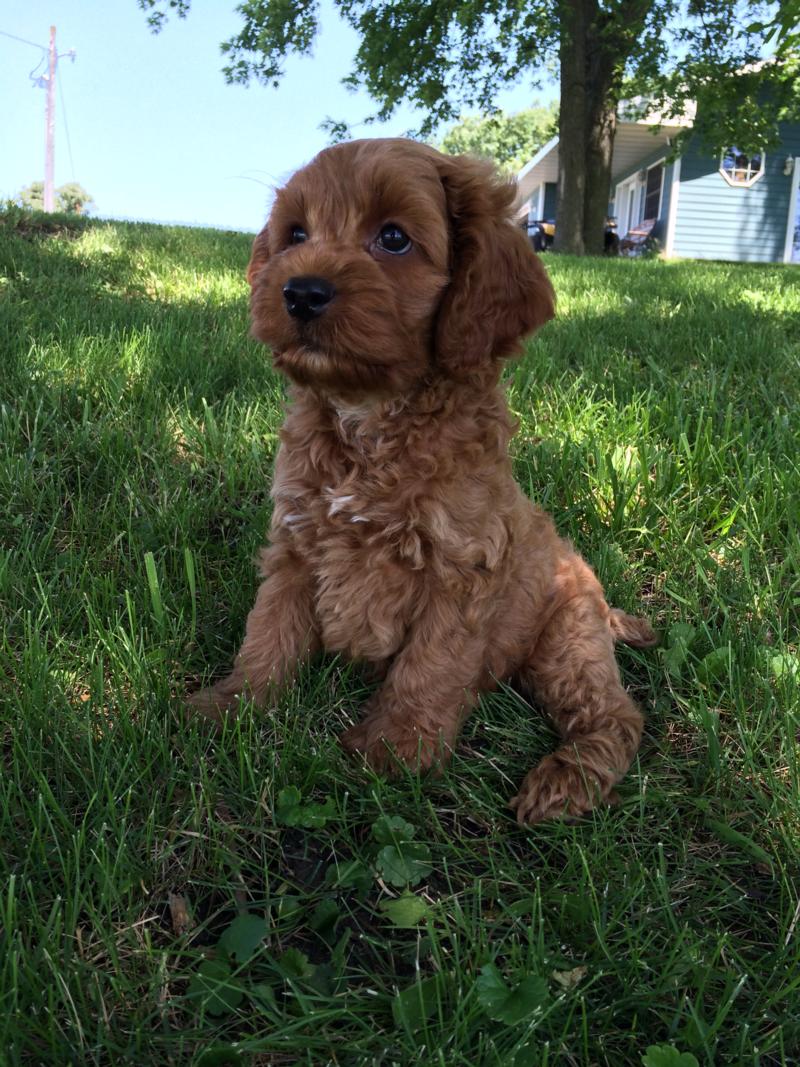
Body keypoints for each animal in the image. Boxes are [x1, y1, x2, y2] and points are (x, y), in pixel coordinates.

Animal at [189, 137, 657, 819]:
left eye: (394, 238)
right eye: (296, 234)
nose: (300, 291)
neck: (371, 417)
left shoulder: (461, 570)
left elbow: (430, 664)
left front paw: (396, 750)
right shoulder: (295, 545)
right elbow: (269, 632)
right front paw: (234, 705)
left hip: (567, 643)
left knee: (615, 713)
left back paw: (565, 782)